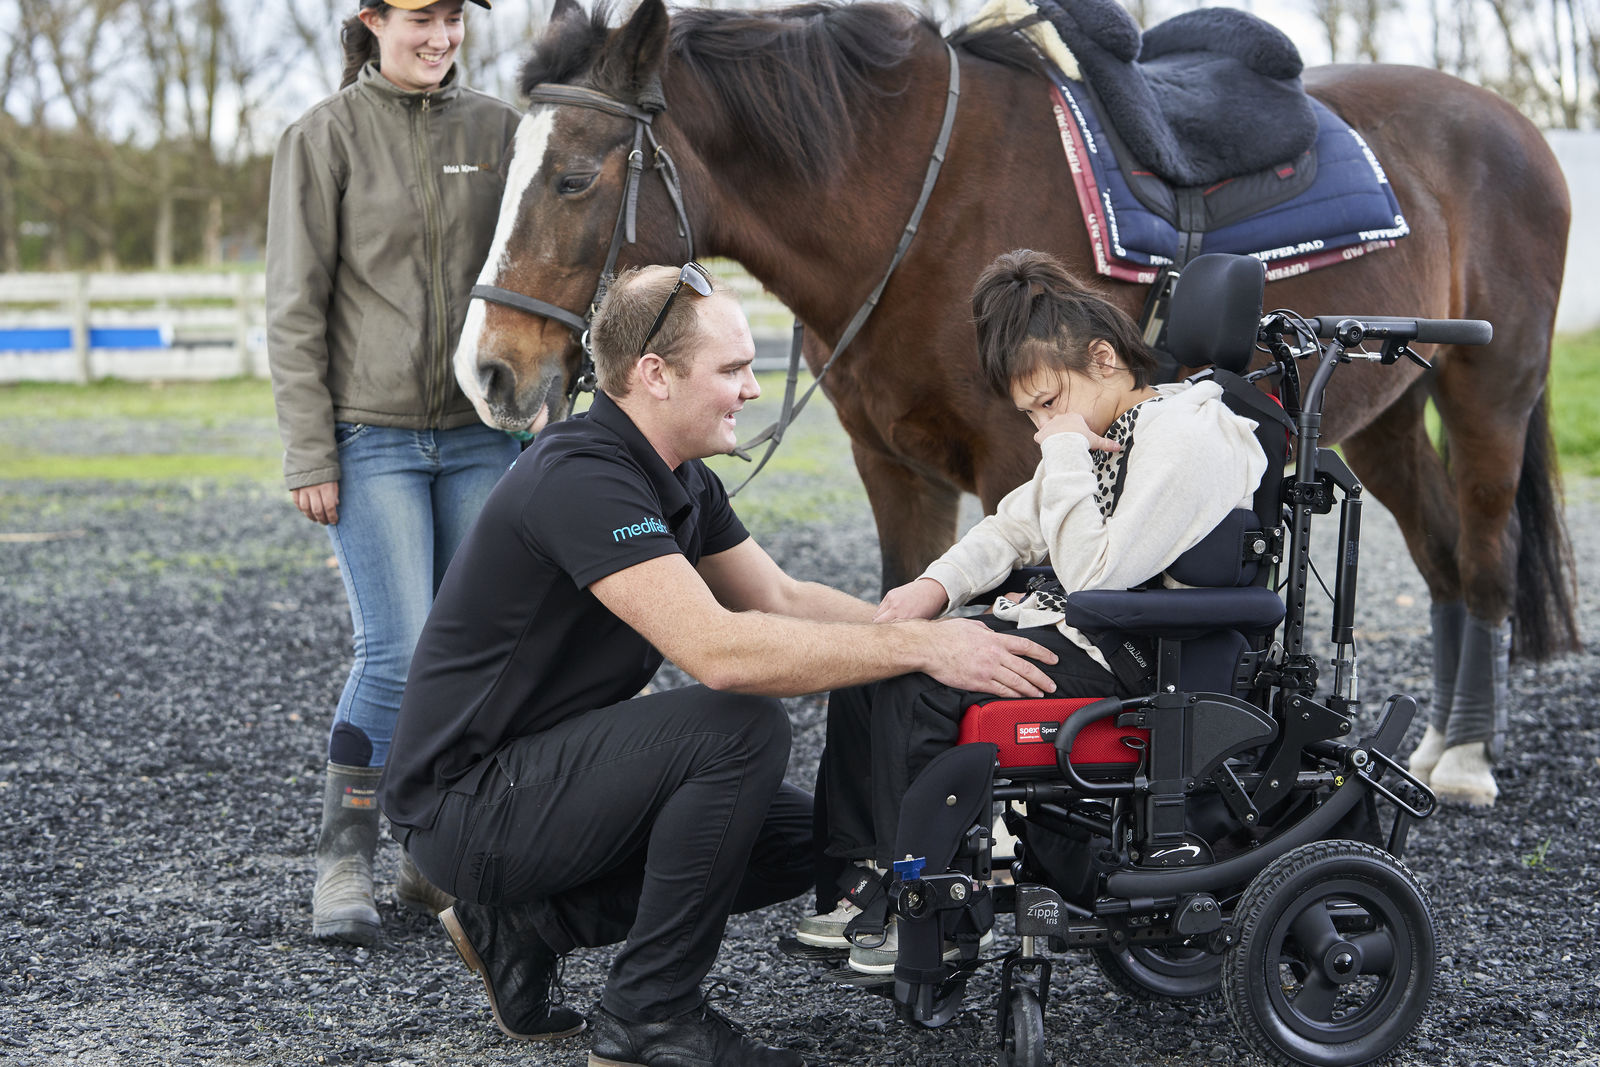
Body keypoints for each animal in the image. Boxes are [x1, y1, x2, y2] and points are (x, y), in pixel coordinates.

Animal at [452, 0, 1576, 806]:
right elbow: (905, 601)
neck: (911, 199)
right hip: (1384, 412)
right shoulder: (891, 463)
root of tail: (1513, 124)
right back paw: (1430, 740)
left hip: (1490, 389)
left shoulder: (1015, 461)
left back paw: (1465, 758)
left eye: (575, 176)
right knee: (1439, 556)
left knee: (1481, 556)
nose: (487, 372)